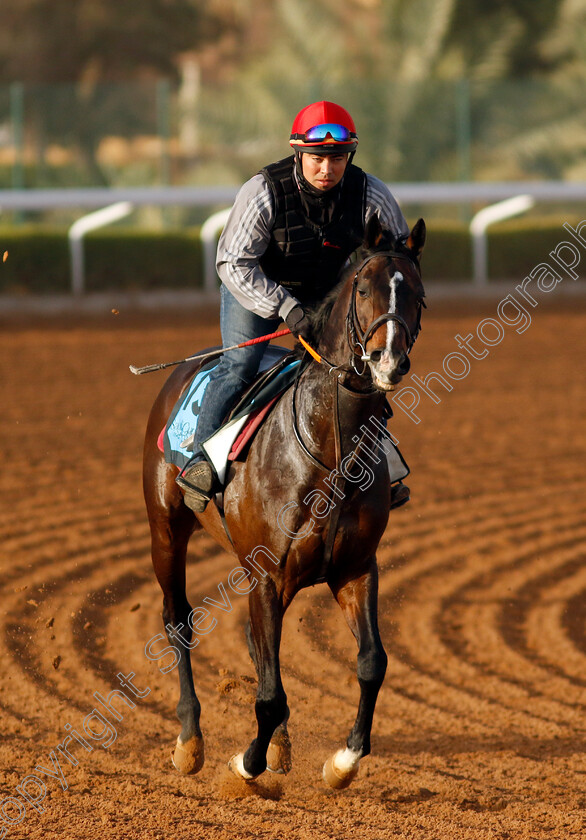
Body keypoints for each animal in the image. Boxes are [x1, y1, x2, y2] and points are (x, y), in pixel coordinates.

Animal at [141, 213, 424, 792]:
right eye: (364, 288)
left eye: (418, 293)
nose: (388, 359)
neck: (329, 451)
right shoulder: (269, 575)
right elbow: (269, 694)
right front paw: (245, 764)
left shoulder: (355, 568)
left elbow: (372, 663)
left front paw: (343, 761)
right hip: (166, 530)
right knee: (178, 621)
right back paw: (190, 741)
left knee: (256, 646)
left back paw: (280, 747)